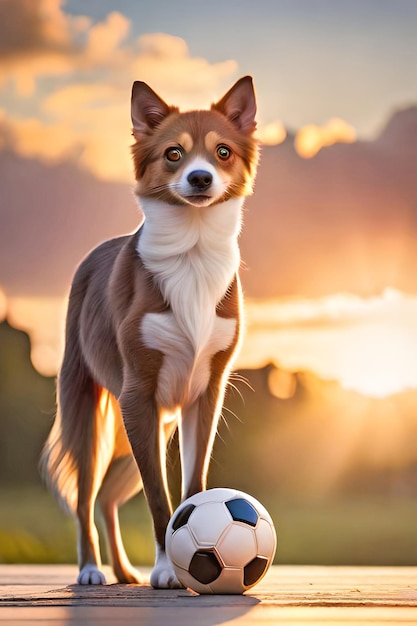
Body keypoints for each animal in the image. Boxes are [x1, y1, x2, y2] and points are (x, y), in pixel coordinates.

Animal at [40, 74, 258, 584]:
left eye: (222, 152)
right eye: (173, 153)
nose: (200, 178)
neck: (192, 251)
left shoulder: (204, 396)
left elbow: (192, 488)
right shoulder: (138, 394)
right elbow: (161, 499)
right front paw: (168, 571)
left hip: (152, 425)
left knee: (106, 498)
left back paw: (124, 572)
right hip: (89, 411)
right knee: (84, 496)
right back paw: (91, 570)